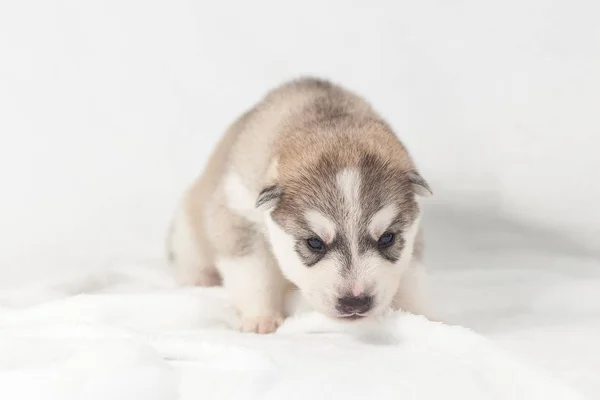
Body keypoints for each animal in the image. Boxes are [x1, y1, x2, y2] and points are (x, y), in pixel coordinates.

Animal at [166, 78, 434, 334]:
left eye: (387, 238)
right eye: (314, 243)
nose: (355, 302)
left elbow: (413, 276)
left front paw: (421, 316)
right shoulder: (240, 216)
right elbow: (252, 273)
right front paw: (261, 318)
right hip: (188, 227)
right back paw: (200, 277)